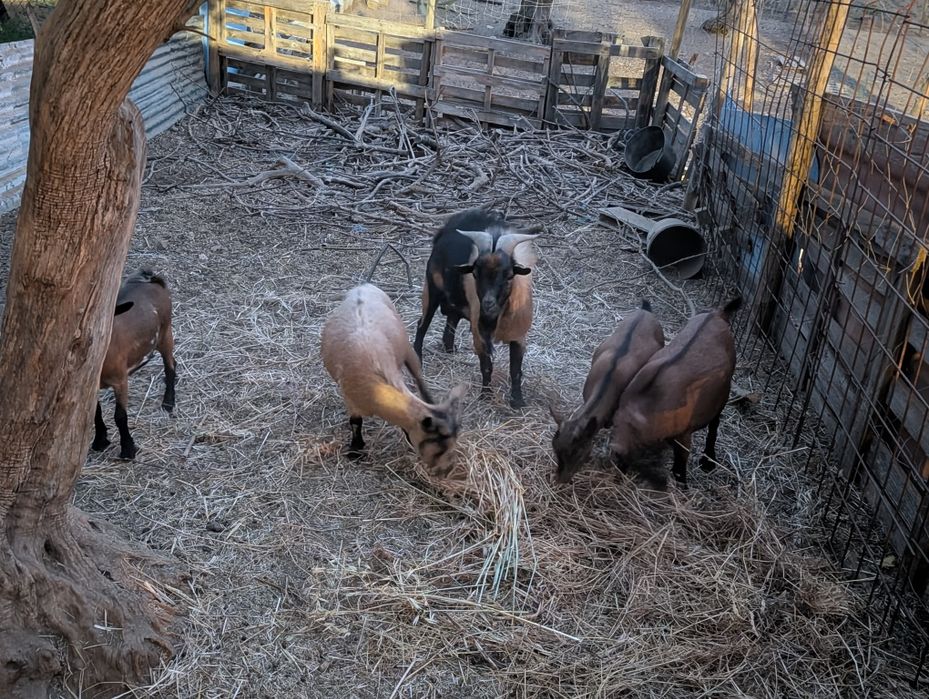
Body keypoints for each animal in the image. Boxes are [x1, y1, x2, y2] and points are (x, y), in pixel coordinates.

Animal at [92, 270, 176, 460]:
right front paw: (100, 441)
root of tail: (151, 278)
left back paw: (168, 402)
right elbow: (95, 412)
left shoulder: (120, 380)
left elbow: (120, 416)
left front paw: (128, 449)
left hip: (165, 332)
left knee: (170, 365)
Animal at [322, 284, 467, 474]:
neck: (377, 388)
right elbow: (355, 422)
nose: (448, 470)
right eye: (438, 443)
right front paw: (356, 450)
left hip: (407, 348)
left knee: (418, 377)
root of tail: (363, 286)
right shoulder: (349, 396)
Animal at [413, 209, 541, 408]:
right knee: (422, 323)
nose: (488, 303)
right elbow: (486, 366)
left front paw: (518, 401)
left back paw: (449, 349)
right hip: (432, 288)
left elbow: (516, 369)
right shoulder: (479, 332)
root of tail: (445, 230)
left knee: (451, 319)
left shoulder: (518, 334)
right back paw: (418, 358)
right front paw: (486, 396)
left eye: (509, 275)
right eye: (475, 273)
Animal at [609, 296, 742, 485]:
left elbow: (681, 463)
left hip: (724, 391)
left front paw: (683, 485)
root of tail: (718, 314)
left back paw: (708, 460)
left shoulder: (684, 435)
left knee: (714, 423)